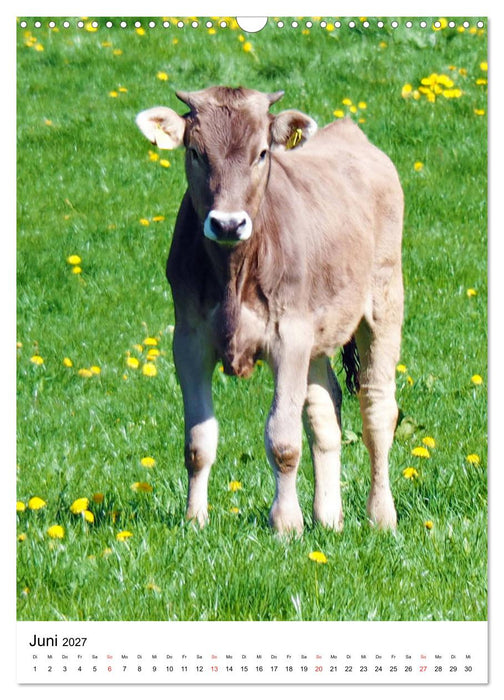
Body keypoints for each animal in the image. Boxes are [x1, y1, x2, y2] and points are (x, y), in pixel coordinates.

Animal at [136, 86, 403, 535]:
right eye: (196, 151)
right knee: (325, 411)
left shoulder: (288, 338)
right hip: (317, 333)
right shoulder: (189, 340)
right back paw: (328, 517)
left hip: (384, 300)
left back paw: (381, 516)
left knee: (377, 408)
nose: (227, 224)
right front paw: (195, 519)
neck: (233, 274)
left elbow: (283, 439)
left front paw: (286, 524)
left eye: (262, 153)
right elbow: (198, 441)